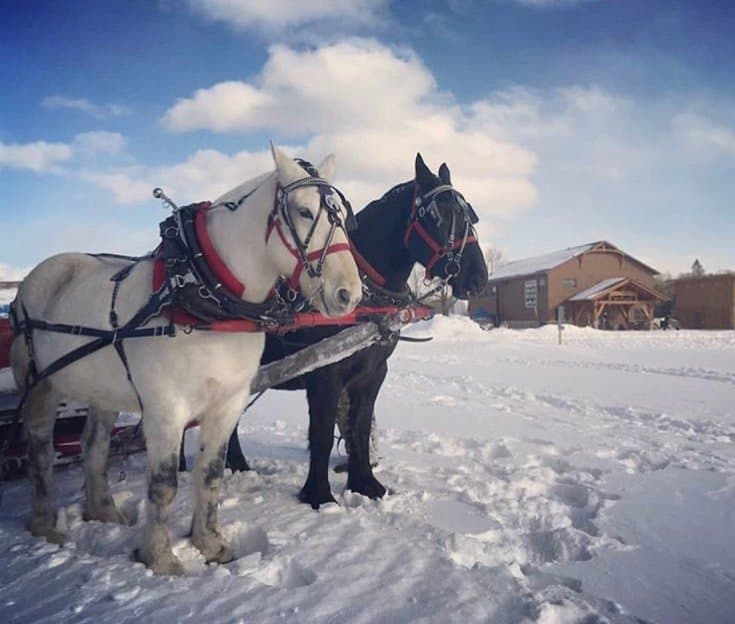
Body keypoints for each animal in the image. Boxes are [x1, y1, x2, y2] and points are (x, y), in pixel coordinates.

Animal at [9, 145, 362, 574]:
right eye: (304, 211)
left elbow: (210, 476)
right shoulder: (166, 410)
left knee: (94, 445)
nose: (349, 294)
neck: (203, 295)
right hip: (40, 385)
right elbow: (163, 486)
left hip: (101, 390)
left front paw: (210, 544)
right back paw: (45, 525)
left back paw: (105, 512)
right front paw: (160, 559)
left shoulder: (227, 404)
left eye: (342, 216)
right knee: (41, 449)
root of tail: (30, 281)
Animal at [220, 154, 488, 508]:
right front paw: (319, 495)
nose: (479, 278)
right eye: (437, 215)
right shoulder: (325, 374)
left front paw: (366, 484)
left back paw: (236, 464)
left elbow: (359, 427)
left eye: (468, 213)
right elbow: (321, 433)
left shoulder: (373, 373)